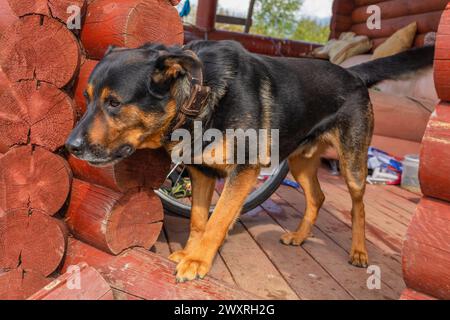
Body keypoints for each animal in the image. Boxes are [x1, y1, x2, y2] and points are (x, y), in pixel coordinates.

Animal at [65, 40, 434, 282]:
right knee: (317, 196)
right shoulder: (201, 172)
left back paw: (358, 252)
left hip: (352, 165)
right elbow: (199, 220)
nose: (70, 147)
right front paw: (190, 252)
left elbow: (216, 222)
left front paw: (197, 260)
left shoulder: (243, 171)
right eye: (87, 97)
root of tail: (352, 73)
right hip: (299, 161)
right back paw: (299, 236)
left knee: (358, 205)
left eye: (114, 103)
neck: (199, 96)